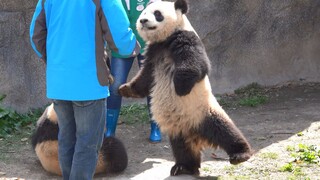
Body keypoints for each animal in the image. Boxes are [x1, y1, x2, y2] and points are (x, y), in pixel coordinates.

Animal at [119, 0, 254, 176]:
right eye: (143, 13)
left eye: (157, 14)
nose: (142, 21)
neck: (164, 39)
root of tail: (197, 136)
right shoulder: (153, 53)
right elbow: (145, 78)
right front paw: (124, 89)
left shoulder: (186, 39)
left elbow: (196, 65)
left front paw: (180, 88)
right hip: (179, 129)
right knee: (182, 149)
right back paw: (184, 167)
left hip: (204, 112)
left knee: (225, 130)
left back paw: (240, 154)